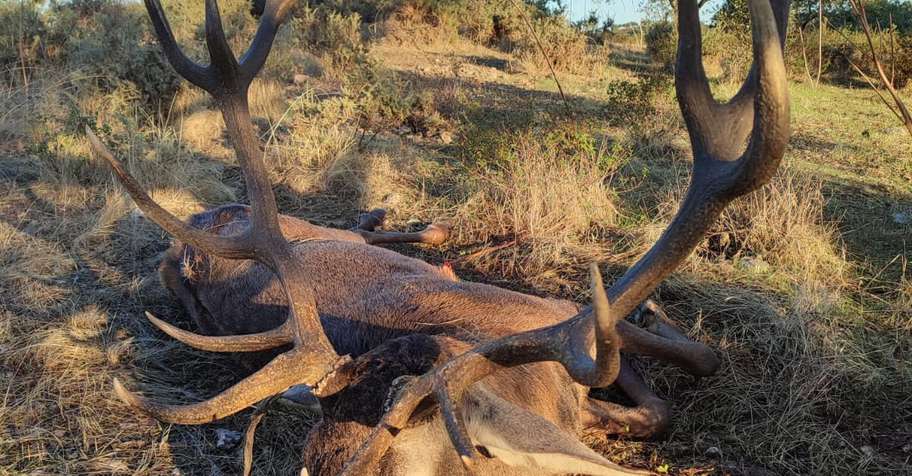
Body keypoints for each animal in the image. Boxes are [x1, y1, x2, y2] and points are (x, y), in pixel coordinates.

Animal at [85, 0, 791, 474]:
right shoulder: (570, 324)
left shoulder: (559, 308)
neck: (541, 387)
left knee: (384, 231)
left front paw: (653, 324)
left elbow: (691, 365)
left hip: (315, 228)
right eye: (310, 462)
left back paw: (400, 222)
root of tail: (179, 251)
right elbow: (664, 397)